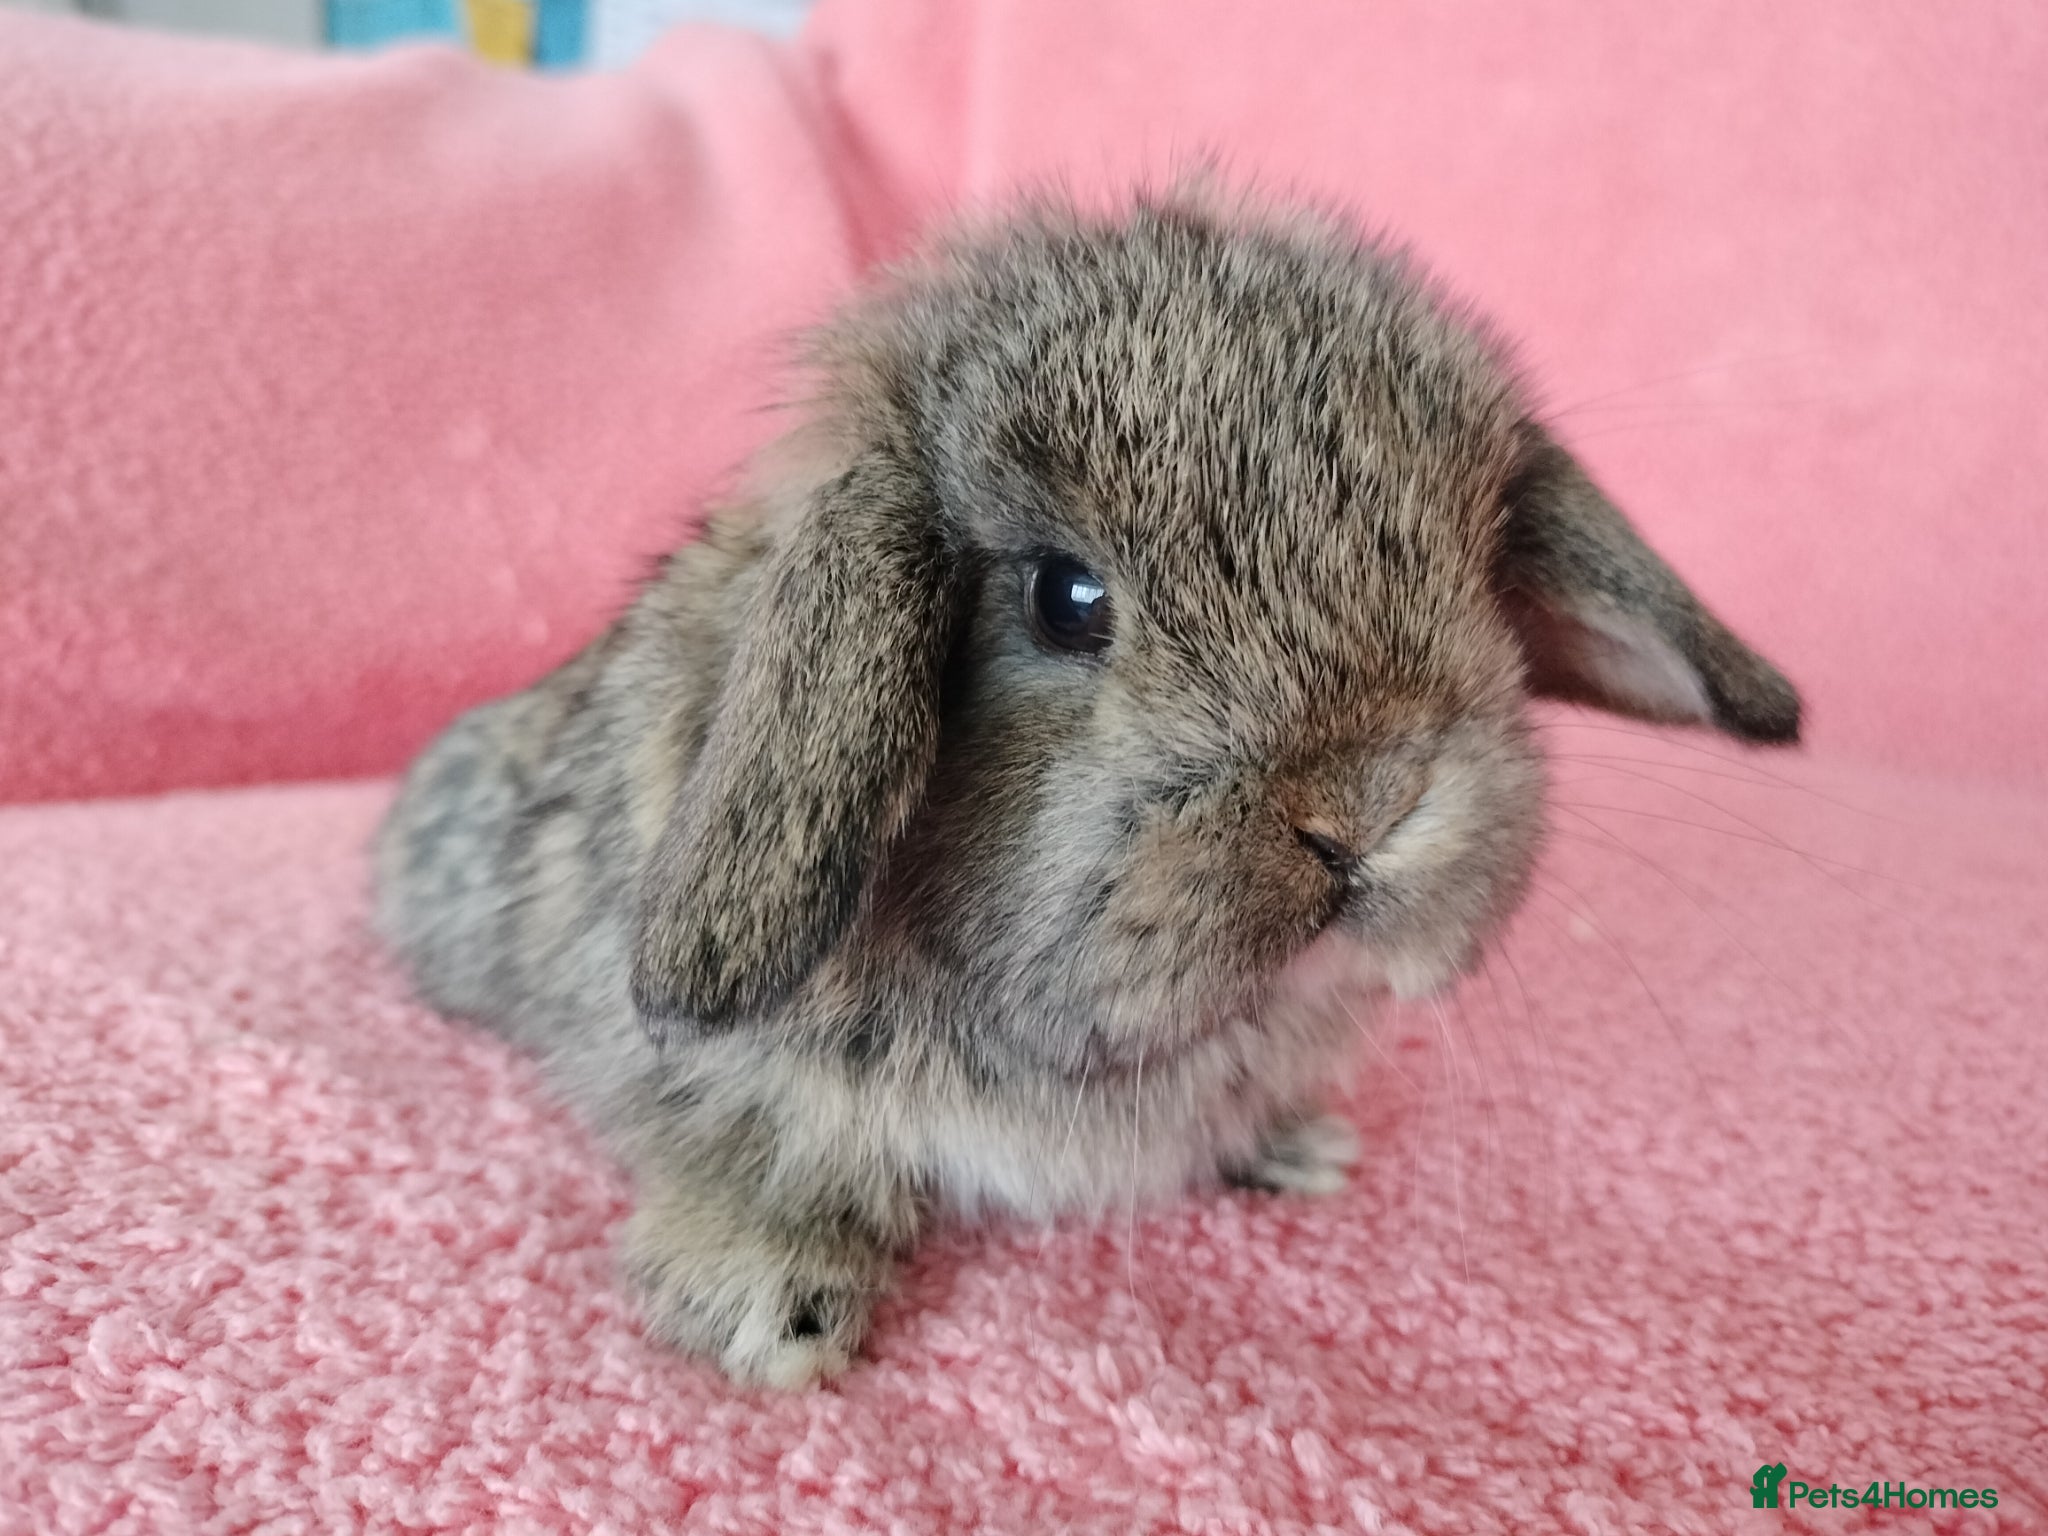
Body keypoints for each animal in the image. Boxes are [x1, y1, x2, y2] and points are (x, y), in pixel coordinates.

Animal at [373, 189, 1800, 1389]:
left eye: (1477, 569)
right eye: (1066, 599)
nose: (1371, 803)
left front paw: (1295, 1150)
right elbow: (745, 1146)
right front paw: (767, 1307)